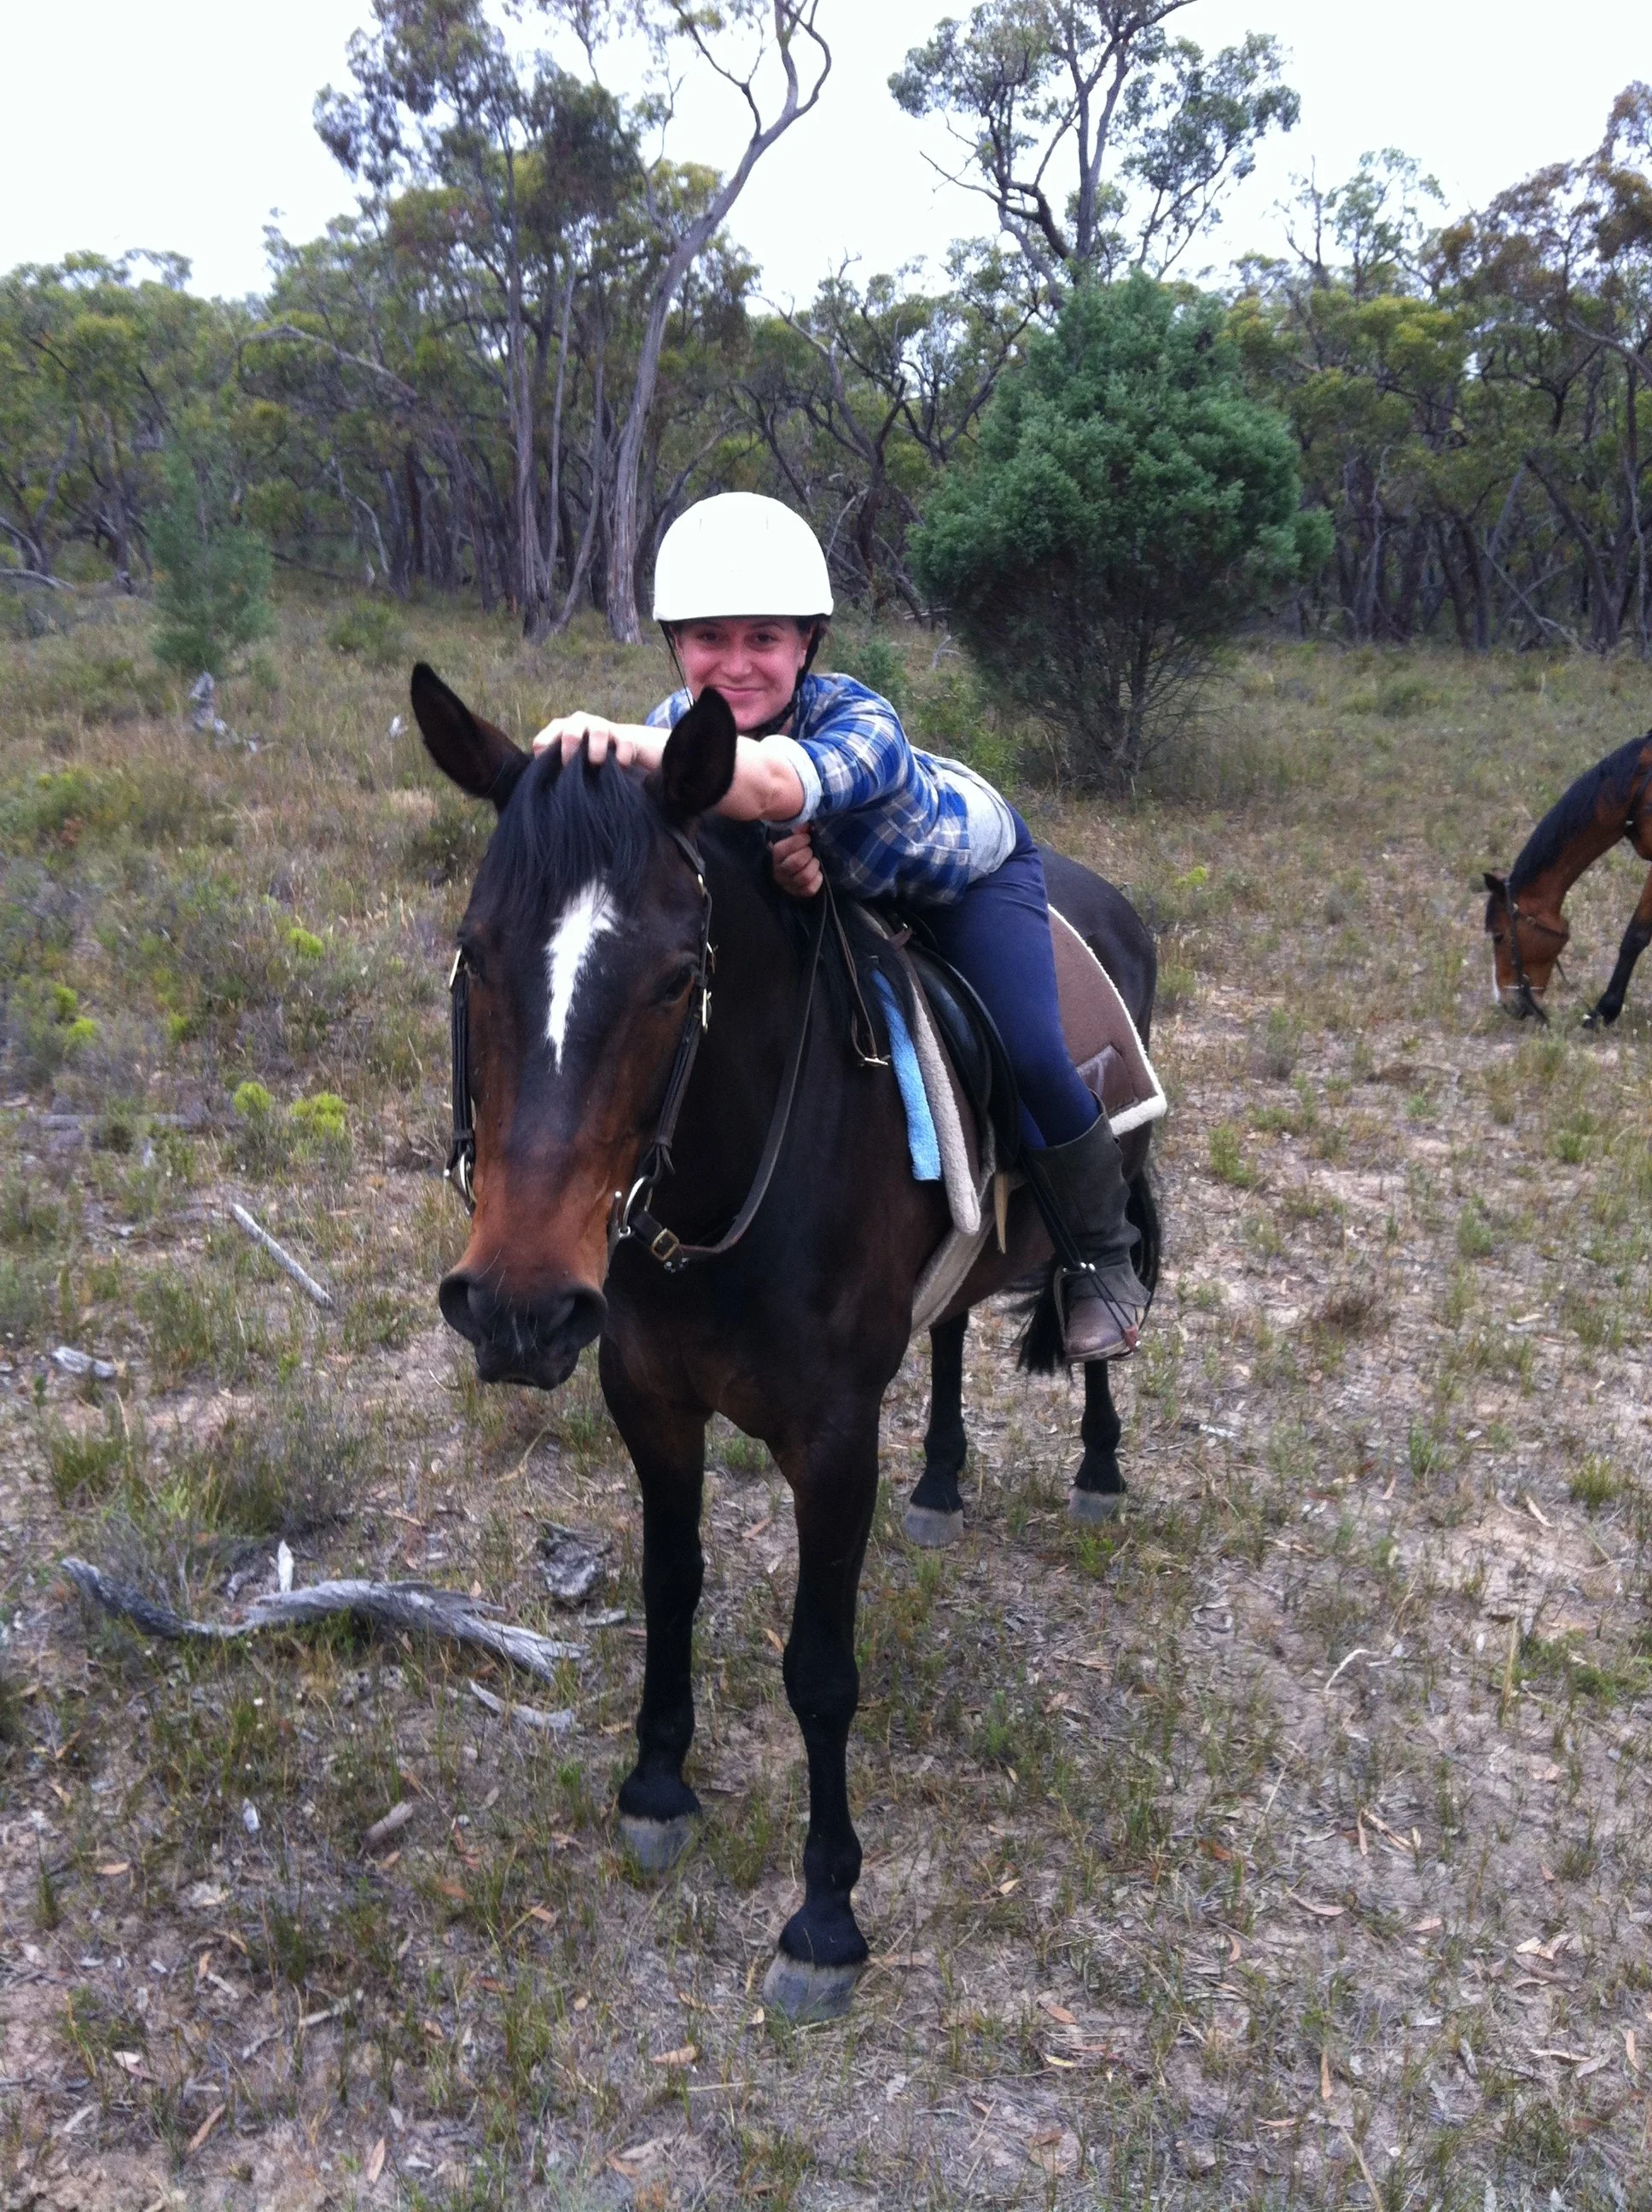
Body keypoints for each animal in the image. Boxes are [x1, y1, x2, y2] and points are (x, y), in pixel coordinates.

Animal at [410, 661, 1160, 2023]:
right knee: (954, 1324)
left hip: (1108, 1171)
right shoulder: (646, 1397)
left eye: (673, 978)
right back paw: (943, 1481)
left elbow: (820, 1668)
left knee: (1104, 1290)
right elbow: (669, 1584)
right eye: (474, 955)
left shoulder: (830, 1436)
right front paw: (658, 1788)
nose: (518, 1309)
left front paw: (825, 1916)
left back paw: (1098, 1459)